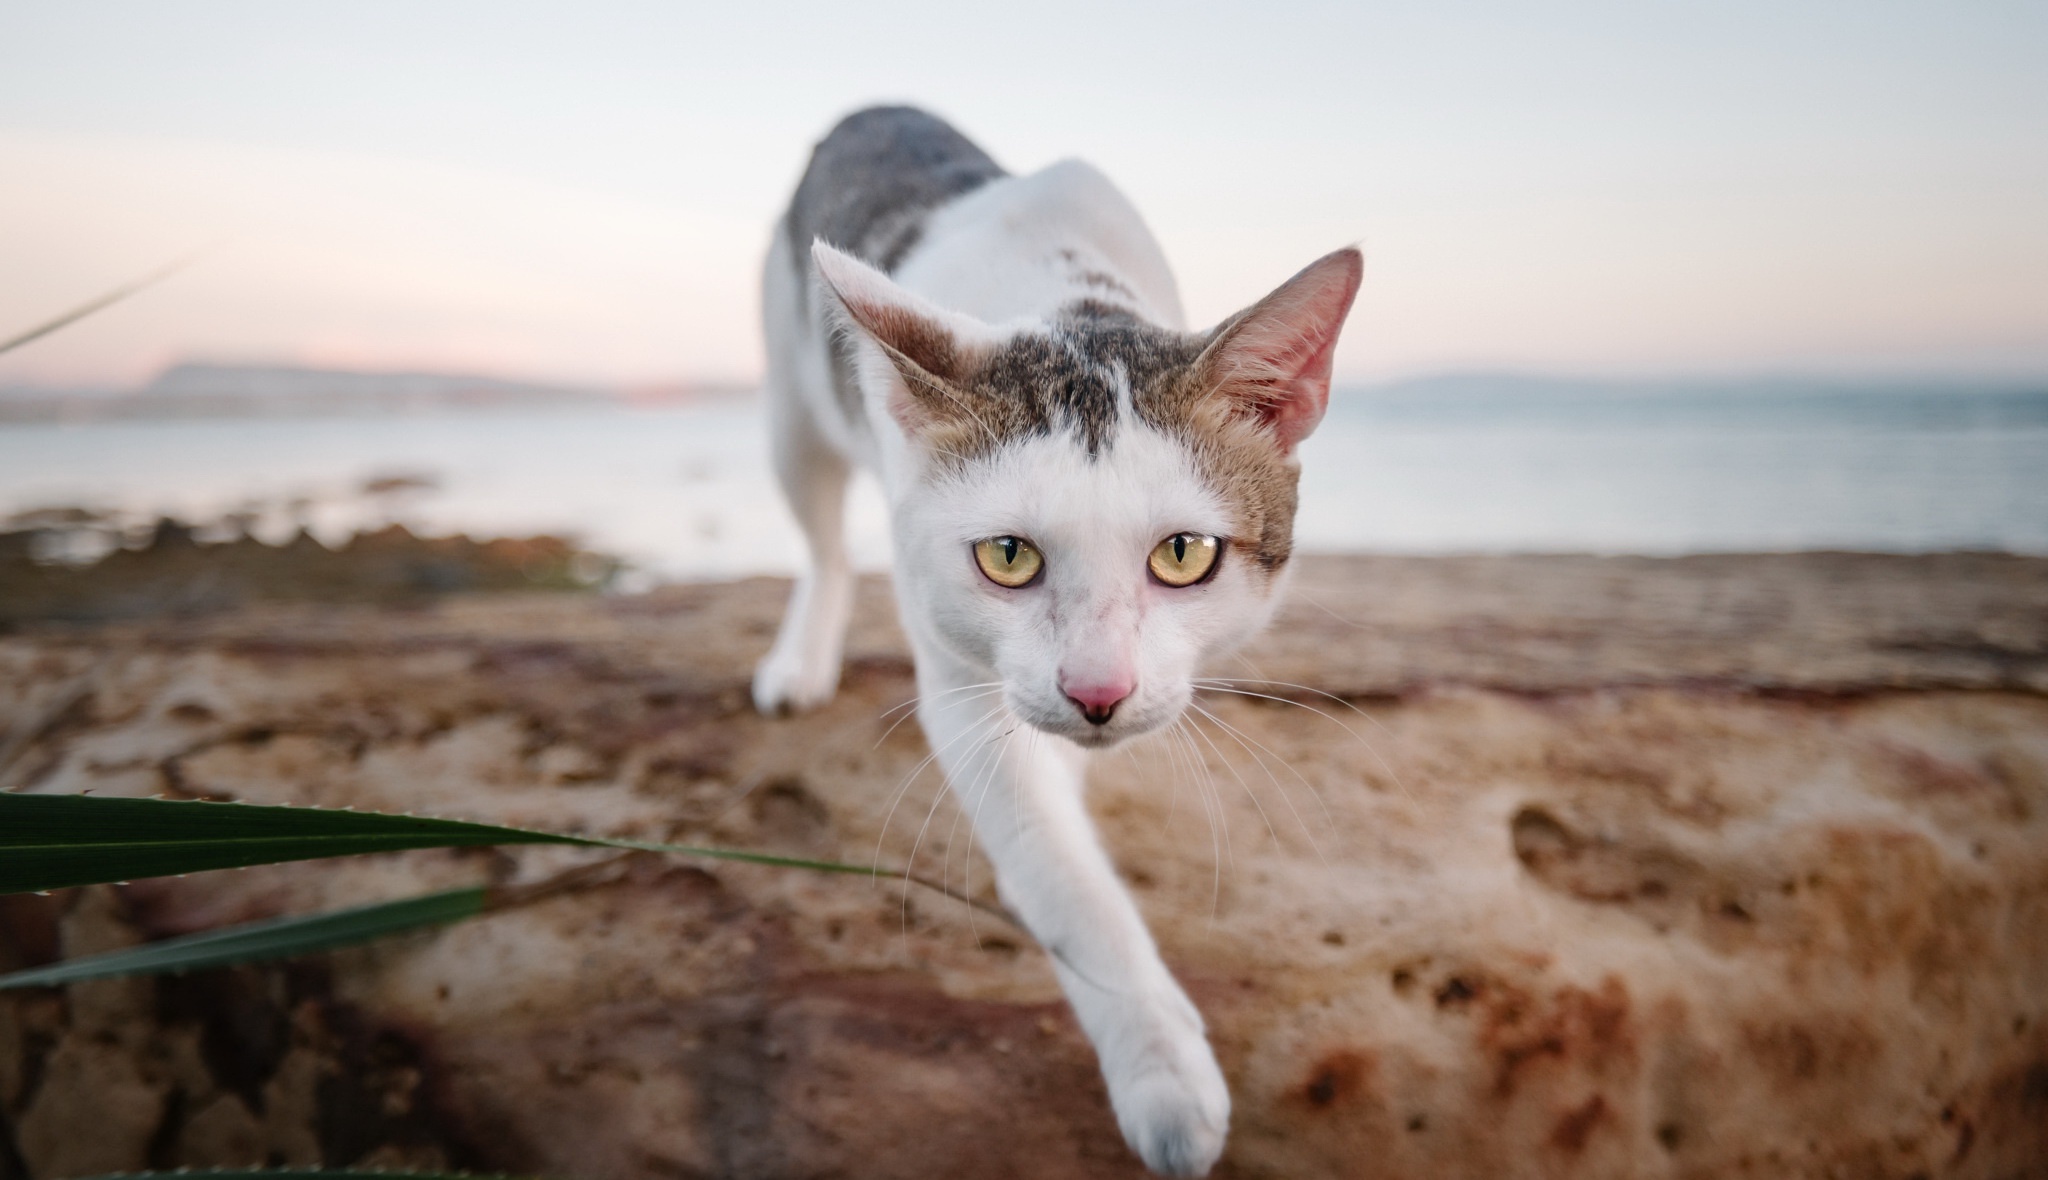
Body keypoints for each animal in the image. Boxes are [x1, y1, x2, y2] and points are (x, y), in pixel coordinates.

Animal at [753, 106, 1359, 1171]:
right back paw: (802, 656)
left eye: (1184, 555)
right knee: (823, 536)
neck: (1068, 304)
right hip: (792, 395)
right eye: (1006, 556)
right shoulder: (964, 688)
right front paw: (1161, 1070)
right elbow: (1064, 879)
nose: (1097, 692)